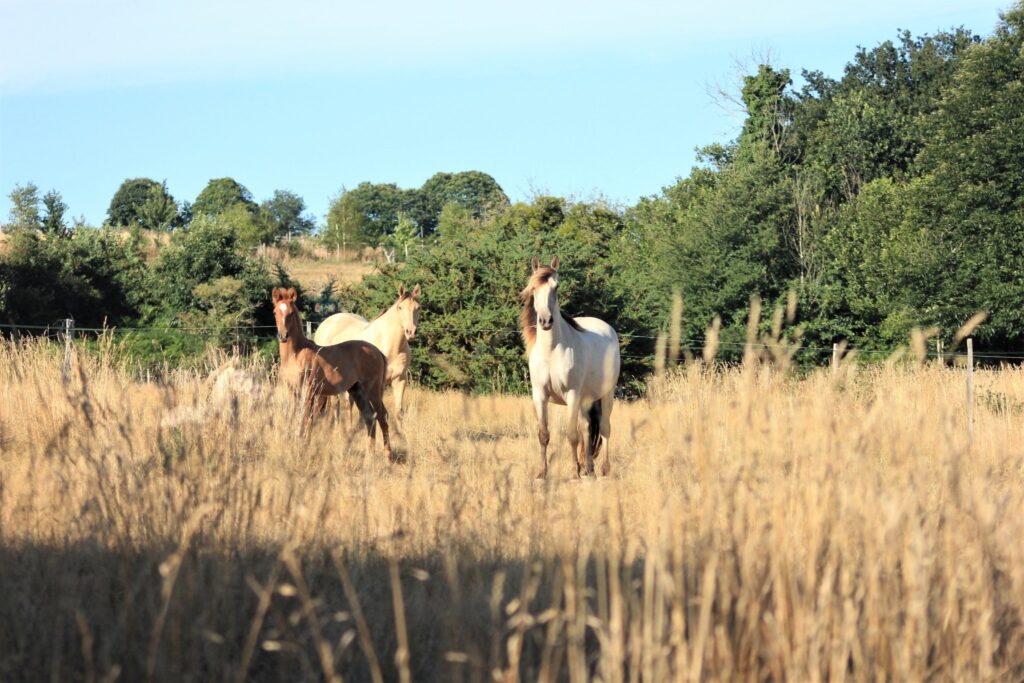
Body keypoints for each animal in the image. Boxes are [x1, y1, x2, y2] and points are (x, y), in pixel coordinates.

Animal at [272, 287, 393, 463]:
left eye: (291, 313)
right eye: (275, 312)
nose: (283, 336)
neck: (296, 354)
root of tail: (378, 352)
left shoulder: (308, 391)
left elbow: (305, 419)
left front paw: (302, 447)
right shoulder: (291, 391)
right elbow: (295, 417)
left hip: (373, 390)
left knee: (382, 416)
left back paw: (388, 456)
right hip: (357, 391)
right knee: (370, 417)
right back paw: (369, 455)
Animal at [313, 283, 421, 420]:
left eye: (418, 308)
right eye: (400, 307)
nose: (410, 332)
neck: (391, 346)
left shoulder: (400, 380)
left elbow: (398, 413)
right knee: (335, 405)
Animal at [520, 256, 620, 479]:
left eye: (556, 287)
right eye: (534, 288)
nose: (545, 321)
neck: (552, 351)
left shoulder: (572, 395)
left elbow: (572, 435)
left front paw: (574, 472)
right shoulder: (540, 395)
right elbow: (544, 434)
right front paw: (542, 472)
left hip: (606, 395)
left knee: (604, 428)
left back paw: (603, 469)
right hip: (585, 400)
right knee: (587, 428)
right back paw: (588, 468)